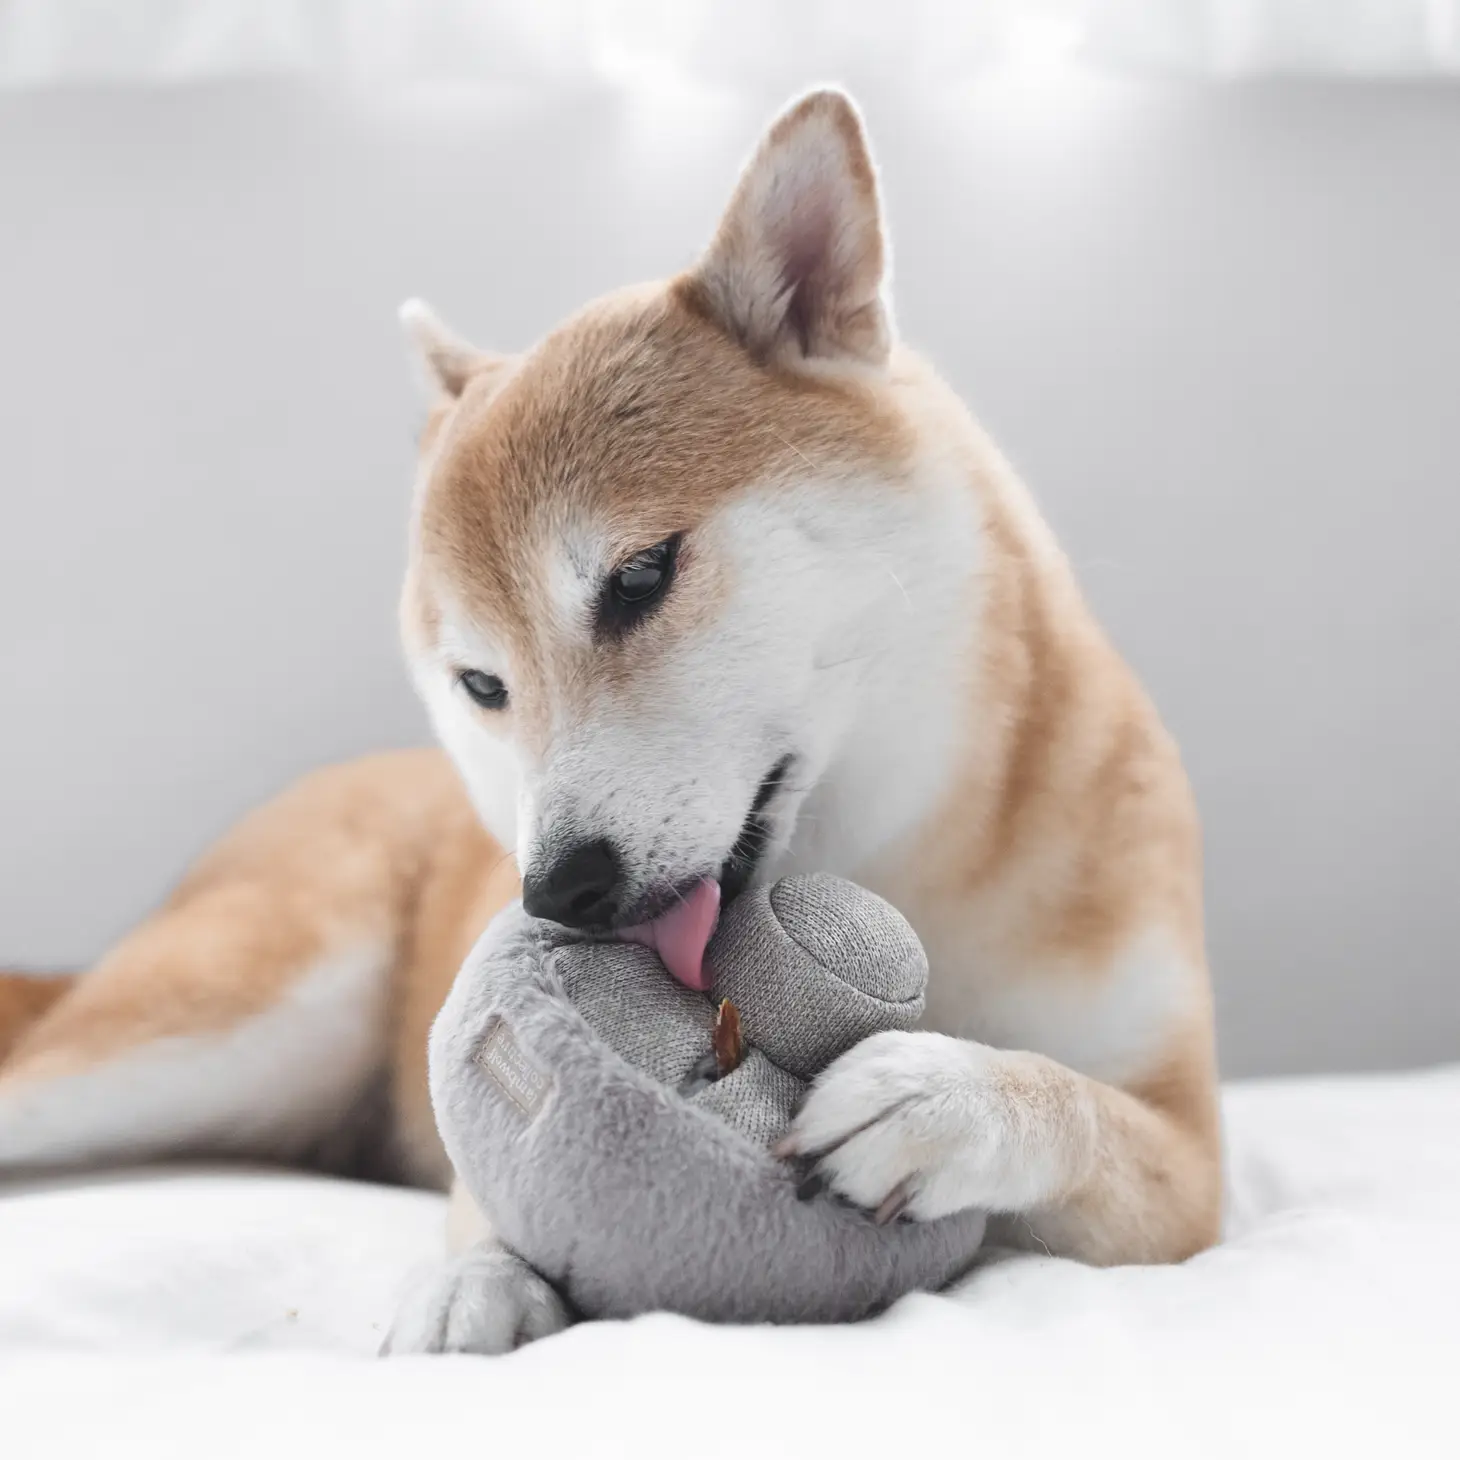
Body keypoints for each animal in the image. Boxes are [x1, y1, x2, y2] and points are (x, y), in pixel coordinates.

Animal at [0, 94, 1220, 1354]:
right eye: (480, 684)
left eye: (638, 577)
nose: (556, 891)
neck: (887, 860)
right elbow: (482, 1179)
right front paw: (474, 1275)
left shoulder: (1191, 1161)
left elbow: (1076, 1103)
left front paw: (942, 1093)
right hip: (223, 1013)